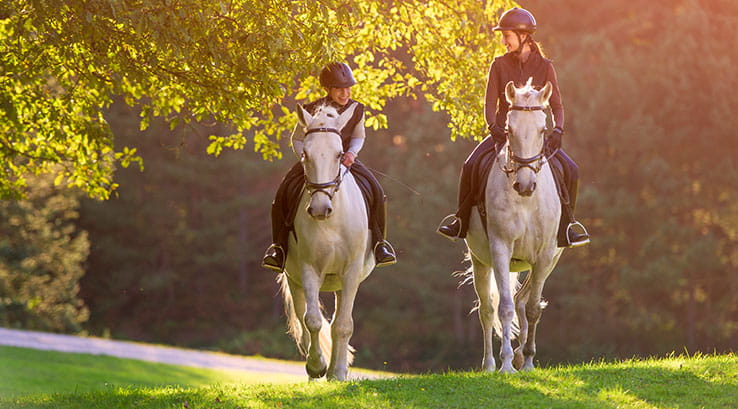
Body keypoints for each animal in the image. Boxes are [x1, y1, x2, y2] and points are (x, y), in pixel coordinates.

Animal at [277, 102, 376, 381]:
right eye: (305, 155)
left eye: (339, 154)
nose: (320, 209)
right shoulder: (308, 269)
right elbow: (312, 320)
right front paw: (316, 367)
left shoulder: (351, 272)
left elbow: (343, 325)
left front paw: (338, 373)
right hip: (295, 279)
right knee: (304, 321)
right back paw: (316, 374)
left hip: (342, 283)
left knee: (337, 323)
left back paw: (334, 372)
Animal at [464, 78, 565, 373]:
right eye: (509, 129)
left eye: (543, 129)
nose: (525, 185)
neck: (526, 201)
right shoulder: (500, 250)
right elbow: (504, 308)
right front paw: (506, 364)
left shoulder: (544, 256)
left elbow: (532, 309)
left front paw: (528, 360)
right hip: (480, 260)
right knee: (487, 309)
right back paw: (489, 364)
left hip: (545, 262)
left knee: (523, 301)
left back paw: (521, 355)